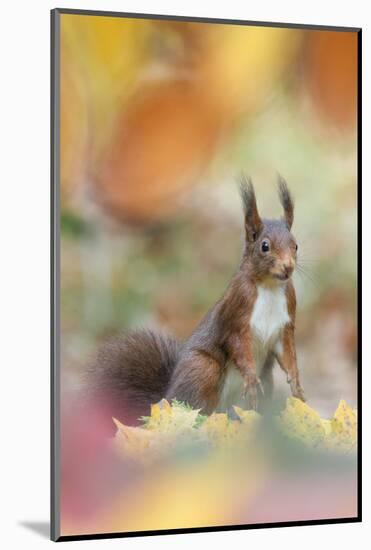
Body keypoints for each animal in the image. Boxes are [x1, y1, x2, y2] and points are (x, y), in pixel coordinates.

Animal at [86, 177, 306, 426]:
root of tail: (166, 398)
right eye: (264, 246)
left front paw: (296, 384)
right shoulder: (236, 313)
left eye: (296, 245)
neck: (269, 287)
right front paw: (250, 378)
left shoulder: (285, 322)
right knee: (198, 403)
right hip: (203, 368)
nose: (288, 267)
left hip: (265, 381)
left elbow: (287, 353)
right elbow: (237, 345)